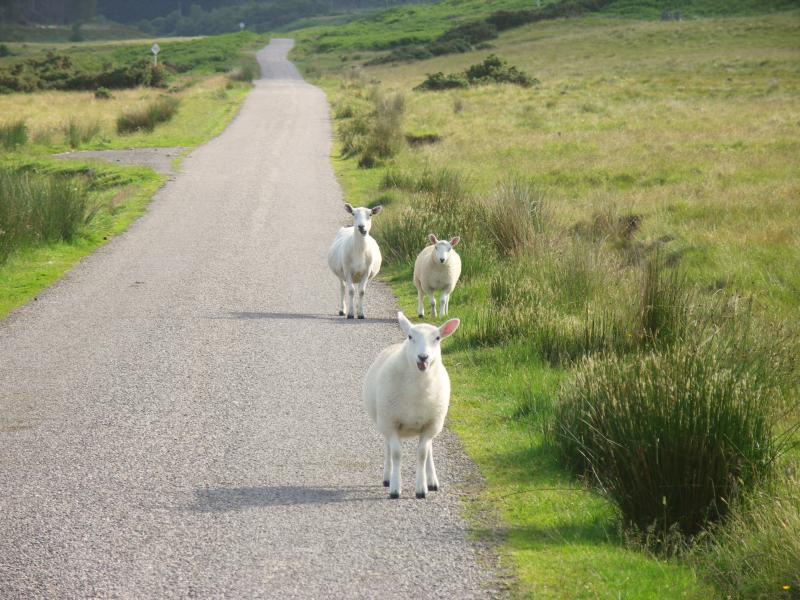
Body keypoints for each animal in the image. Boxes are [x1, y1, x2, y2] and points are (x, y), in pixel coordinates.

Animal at [363, 311, 460, 499]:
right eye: (410, 336)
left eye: (437, 338)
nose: (423, 357)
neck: (417, 390)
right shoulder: (390, 422)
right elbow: (396, 454)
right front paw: (395, 488)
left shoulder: (430, 425)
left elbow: (422, 454)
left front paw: (421, 488)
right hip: (384, 420)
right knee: (388, 447)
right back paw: (387, 478)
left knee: (429, 450)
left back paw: (432, 481)